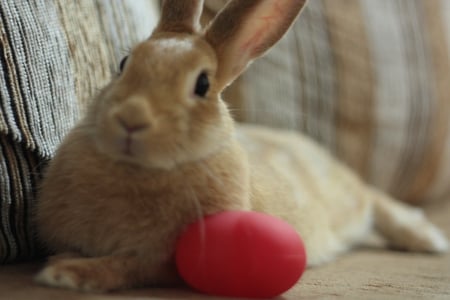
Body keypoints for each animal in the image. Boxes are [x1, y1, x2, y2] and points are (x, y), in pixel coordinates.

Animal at [34, 0, 446, 292]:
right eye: (123, 63)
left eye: (202, 85)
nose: (131, 118)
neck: (138, 169)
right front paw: (64, 262)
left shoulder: (168, 261)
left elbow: (132, 266)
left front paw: (67, 273)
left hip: (348, 198)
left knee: (375, 198)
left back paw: (427, 239)